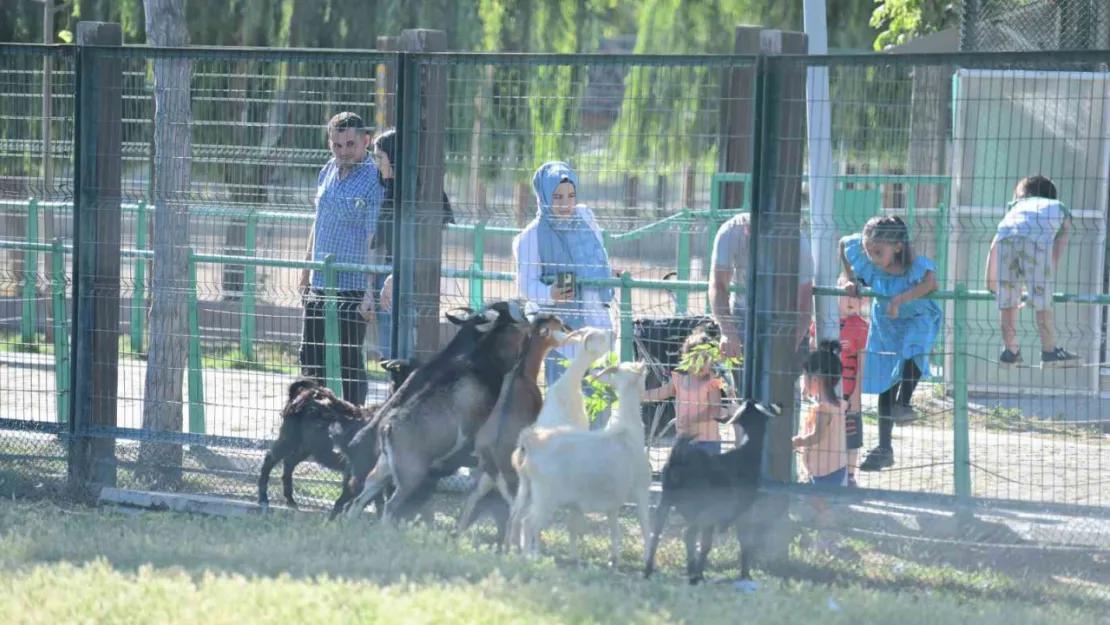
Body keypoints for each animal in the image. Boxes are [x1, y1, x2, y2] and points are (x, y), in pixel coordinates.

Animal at [255, 359, 417, 510]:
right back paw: (263, 500)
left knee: (289, 462)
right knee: (270, 459)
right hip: (289, 437)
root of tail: (298, 394)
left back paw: (291, 500)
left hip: (306, 446)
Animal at [452, 313, 572, 543]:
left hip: (486, 475)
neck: (521, 372)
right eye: (558, 325)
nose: (570, 328)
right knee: (514, 515)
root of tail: (491, 451)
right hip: (513, 481)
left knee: (469, 503)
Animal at [508, 359, 652, 568]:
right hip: (545, 496)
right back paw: (528, 559)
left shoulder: (609, 502)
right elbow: (644, 525)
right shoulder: (640, 490)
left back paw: (514, 551)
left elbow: (610, 528)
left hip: (525, 488)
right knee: (529, 523)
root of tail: (530, 441)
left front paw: (610, 559)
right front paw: (648, 560)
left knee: (516, 517)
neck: (626, 431)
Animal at [643, 401, 781, 586]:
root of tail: (677, 457)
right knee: (689, 535)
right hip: (697, 507)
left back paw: (649, 570)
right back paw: (692, 574)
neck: (745, 456)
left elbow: (706, 543)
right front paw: (745, 574)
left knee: (656, 532)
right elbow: (741, 541)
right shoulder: (740, 512)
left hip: (666, 501)